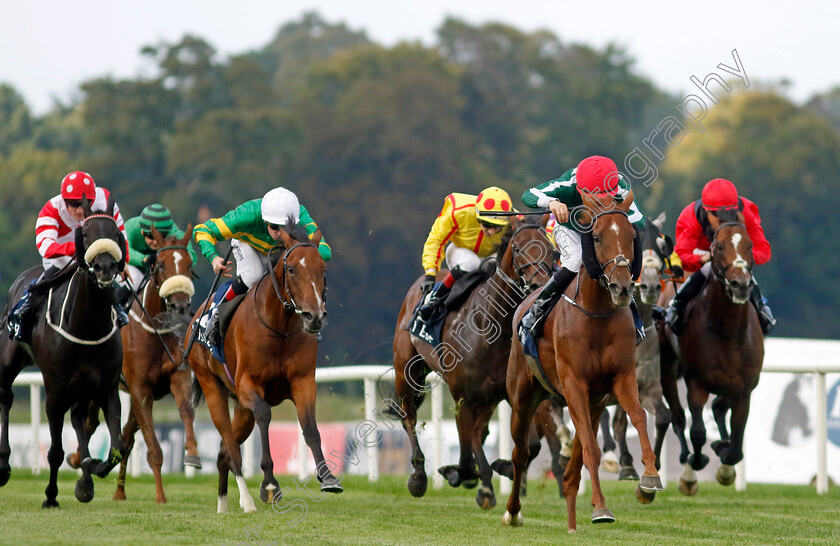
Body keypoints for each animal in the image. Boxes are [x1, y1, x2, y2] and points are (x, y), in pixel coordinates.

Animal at [0, 198, 126, 508]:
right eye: (86, 234)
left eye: (116, 233)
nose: (105, 267)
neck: (86, 326)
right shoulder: (55, 389)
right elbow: (55, 451)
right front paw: (50, 496)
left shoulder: (107, 386)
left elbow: (117, 448)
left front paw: (90, 471)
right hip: (9, 360)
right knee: (6, 398)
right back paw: (4, 465)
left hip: (83, 387)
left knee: (79, 417)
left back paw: (86, 478)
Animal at [188, 221, 342, 510]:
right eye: (291, 269)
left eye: (323, 269)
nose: (314, 316)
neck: (279, 327)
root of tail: (195, 318)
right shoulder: (248, 384)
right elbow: (265, 415)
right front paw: (269, 483)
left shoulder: (303, 381)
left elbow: (310, 427)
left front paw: (327, 477)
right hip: (212, 387)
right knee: (231, 447)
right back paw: (246, 501)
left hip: (240, 408)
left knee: (223, 452)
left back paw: (223, 505)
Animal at [392, 216, 556, 506]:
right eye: (517, 248)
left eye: (550, 248)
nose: (540, 286)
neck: (490, 327)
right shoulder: (463, 397)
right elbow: (468, 454)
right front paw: (470, 479)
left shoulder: (509, 393)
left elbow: (531, 445)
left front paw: (497, 470)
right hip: (406, 371)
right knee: (408, 416)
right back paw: (418, 477)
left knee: (480, 432)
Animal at [502, 193, 660, 528]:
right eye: (596, 237)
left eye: (631, 236)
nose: (622, 286)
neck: (596, 313)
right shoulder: (574, 382)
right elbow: (590, 447)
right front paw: (601, 507)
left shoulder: (621, 377)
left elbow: (638, 416)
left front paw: (649, 476)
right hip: (523, 398)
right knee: (521, 454)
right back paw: (513, 511)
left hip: (592, 402)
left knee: (573, 462)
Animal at [660, 207, 764, 492]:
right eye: (718, 246)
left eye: (750, 245)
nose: (740, 284)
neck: (728, 334)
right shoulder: (696, 382)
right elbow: (697, 432)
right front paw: (692, 470)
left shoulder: (745, 387)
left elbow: (737, 442)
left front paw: (725, 458)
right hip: (667, 368)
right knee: (677, 417)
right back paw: (686, 460)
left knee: (718, 407)